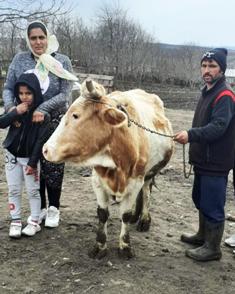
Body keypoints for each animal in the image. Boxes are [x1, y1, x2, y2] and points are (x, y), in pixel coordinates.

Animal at [42, 79, 174, 258]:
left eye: (76, 115)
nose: (45, 149)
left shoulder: (135, 181)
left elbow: (125, 215)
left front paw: (125, 246)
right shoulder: (97, 180)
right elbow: (103, 214)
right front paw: (100, 246)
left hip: (149, 173)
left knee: (147, 192)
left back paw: (144, 219)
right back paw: (137, 216)